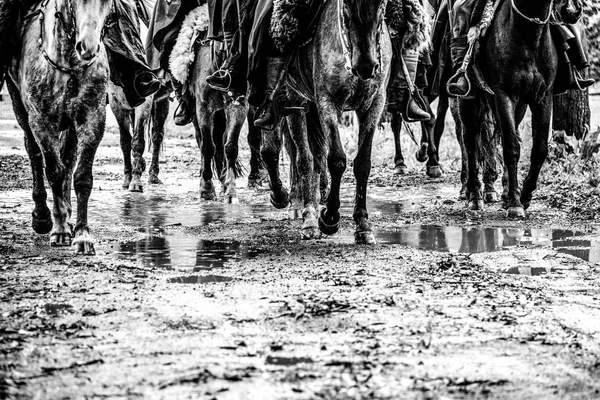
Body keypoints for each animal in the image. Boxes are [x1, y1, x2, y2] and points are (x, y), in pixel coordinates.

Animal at [5, 0, 112, 256]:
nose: (88, 47)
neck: (69, 64)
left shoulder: (92, 118)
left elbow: (81, 176)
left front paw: (82, 235)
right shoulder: (41, 120)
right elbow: (54, 171)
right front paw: (60, 229)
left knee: (68, 157)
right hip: (19, 104)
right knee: (33, 152)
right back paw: (43, 216)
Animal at [274, 0, 394, 244]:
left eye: (382, 5)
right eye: (346, 5)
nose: (365, 66)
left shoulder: (374, 105)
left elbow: (362, 163)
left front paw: (363, 224)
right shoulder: (327, 103)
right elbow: (336, 160)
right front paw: (329, 217)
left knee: (315, 157)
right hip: (296, 100)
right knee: (305, 159)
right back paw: (309, 218)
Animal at [460, 0, 580, 217]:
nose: (570, 10)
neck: (528, 34)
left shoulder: (543, 98)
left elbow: (539, 149)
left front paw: (523, 196)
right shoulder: (504, 95)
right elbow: (511, 147)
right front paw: (516, 204)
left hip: (519, 106)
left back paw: (505, 193)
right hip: (468, 99)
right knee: (470, 141)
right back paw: (475, 197)